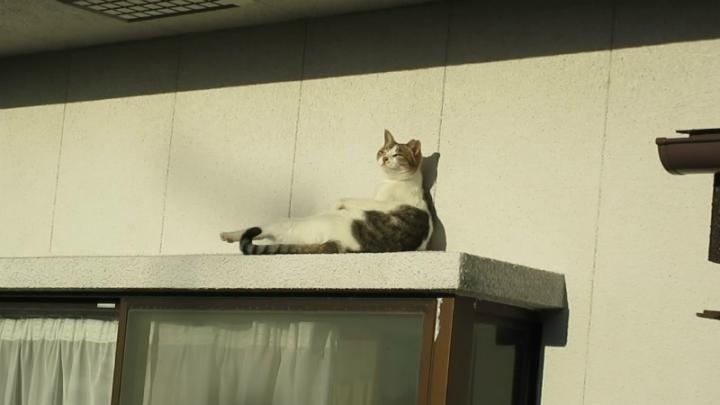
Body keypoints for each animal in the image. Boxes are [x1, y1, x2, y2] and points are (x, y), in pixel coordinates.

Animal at [220, 130, 433, 254]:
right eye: (383, 151)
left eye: (397, 154)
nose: (385, 158)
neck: (393, 181)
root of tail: (337, 245)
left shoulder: (382, 203)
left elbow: (345, 198)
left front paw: (336, 203)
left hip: (293, 223)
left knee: (265, 229)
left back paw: (228, 234)